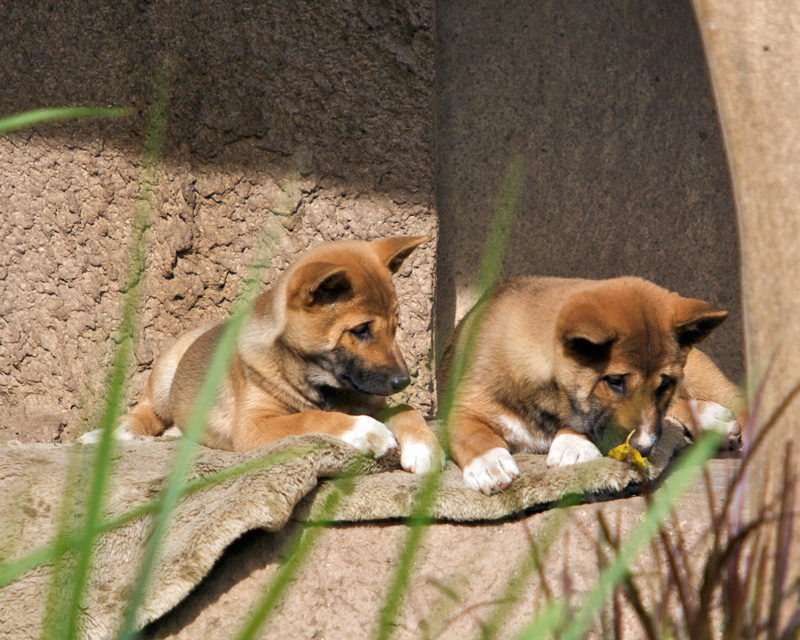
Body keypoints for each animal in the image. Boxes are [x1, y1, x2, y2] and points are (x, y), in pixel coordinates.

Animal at [80, 236, 444, 476]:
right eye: (361, 330)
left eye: (396, 326)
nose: (403, 381)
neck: (317, 380)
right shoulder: (254, 426)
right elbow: (309, 419)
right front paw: (366, 431)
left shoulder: (369, 398)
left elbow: (406, 409)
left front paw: (424, 445)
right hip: (165, 376)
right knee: (145, 413)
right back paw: (110, 434)